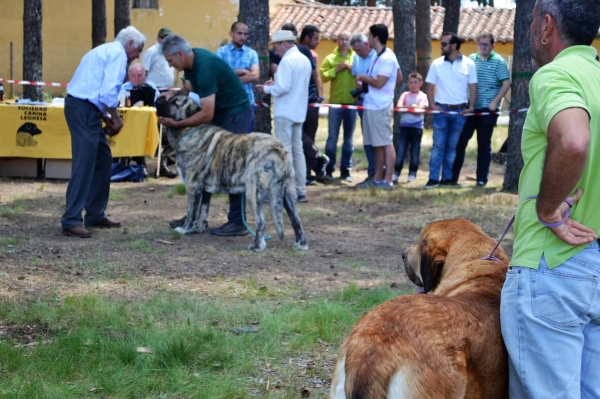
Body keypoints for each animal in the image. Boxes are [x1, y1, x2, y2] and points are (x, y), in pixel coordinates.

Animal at [155, 96, 310, 253]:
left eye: (175, 102)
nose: (160, 97)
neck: (189, 130)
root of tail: (278, 149)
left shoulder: (193, 187)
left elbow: (191, 212)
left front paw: (185, 229)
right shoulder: (204, 191)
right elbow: (202, 212)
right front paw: (197, 229)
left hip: (253, 192)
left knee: (261, 221)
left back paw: (257, 245)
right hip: (287, 193)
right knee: (296, 219)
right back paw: (301, 244)